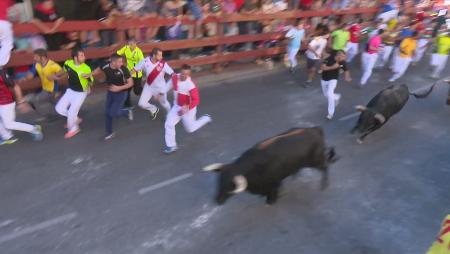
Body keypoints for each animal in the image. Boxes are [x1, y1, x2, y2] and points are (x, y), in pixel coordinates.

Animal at [203, 126, 338, 205]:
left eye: (230, 186)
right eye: (219, 181)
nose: (217, 200)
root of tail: (315, 129)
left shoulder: (273, 182)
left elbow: (273, 192)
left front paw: (271, 200)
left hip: (316, 160)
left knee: (325, 167)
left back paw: (324, 184)